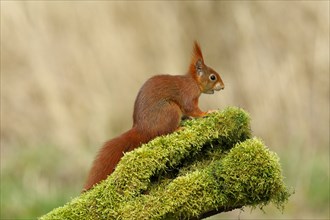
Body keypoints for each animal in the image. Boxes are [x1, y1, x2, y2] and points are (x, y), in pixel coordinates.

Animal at [84, 41, 226, 191]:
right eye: (212, 77)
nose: (223, 86)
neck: (193, 81)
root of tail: (142, 129)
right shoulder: (188, 94)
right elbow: (191, 109)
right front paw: (207, 113)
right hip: (170, 110)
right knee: (164, 131)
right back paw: (177, 128)